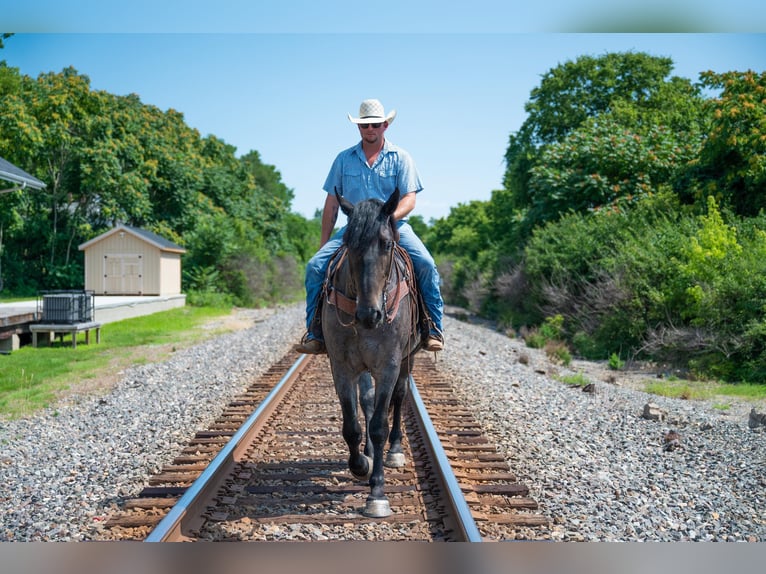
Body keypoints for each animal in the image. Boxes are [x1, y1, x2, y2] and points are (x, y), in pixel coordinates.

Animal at [322, 190, 424, 520]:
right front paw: (360, 464)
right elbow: (351, 425)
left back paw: (394, 451)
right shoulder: (341, 367)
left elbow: (379, 425)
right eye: (348, 243)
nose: (370, 315)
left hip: (406, 360)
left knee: (399, 397)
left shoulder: (388, 366)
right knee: (366, 401)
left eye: (387, 244)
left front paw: (377, 493)